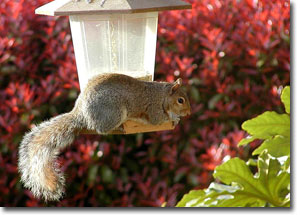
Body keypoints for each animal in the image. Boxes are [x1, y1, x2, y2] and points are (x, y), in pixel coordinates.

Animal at [18, 73, 190, 202]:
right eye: (180, 100)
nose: (189, 113)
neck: (162, 96)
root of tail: (81, 113)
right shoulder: (154, 110)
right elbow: (159, 119)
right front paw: (174, 118)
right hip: (113, 112)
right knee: (101, 129)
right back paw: (118, 127)